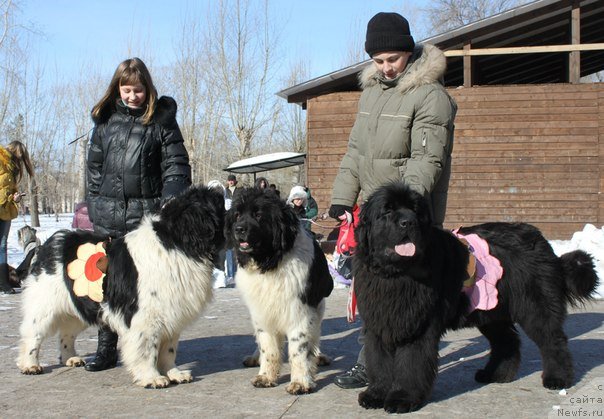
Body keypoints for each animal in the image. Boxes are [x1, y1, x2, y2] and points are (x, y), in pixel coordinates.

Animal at [19, 187, 226, 390]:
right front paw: (152, 378)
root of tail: (49, 243)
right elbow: (147, 349)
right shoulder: (145, 317)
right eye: (220, 207)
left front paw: (174, 373)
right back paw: (30, 365)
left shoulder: (171, 314)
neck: (177, 244)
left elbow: (168, 350)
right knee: (33, 334)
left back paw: (70, 358)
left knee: (66, 333)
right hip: (45, 306)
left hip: (80, 305)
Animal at [225, 189, 332, 396]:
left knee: (315, 334)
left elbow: (299, 349)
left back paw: (318, 355)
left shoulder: (299, 310)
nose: (239, 229)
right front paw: (266, 376)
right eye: (237, 215)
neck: (270, 262)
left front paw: (300, 382)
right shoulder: (262, 311)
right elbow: (268, 347)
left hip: (318, 307)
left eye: (258, 215)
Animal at [354, 183, 600, 414]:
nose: (408, 222)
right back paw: (496, 374)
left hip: (535, 307)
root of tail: (543, 242)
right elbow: (378, 362)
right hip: (492, 312)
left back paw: (557, 378)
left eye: (415, 211)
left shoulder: (418, 326)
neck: (395, 275)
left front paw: (402, 399)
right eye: (387, 210)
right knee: (508, 342)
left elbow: (410, 365)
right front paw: (376, 394)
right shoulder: (378, 325)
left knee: (553, 340)